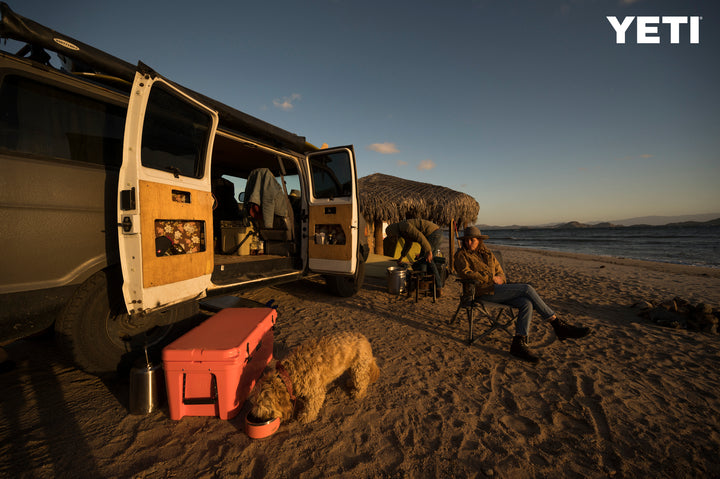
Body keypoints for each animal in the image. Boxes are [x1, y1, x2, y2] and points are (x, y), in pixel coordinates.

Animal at [249, 334, 380, 424]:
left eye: (264, 411)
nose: (258, 419)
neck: (288, 375)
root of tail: (363, 338)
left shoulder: (316, 392)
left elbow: (311, 406)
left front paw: (305, 417)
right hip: (351, 366)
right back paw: (350, 383)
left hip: (359, 366)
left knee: (362, 380)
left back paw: (358, 393)